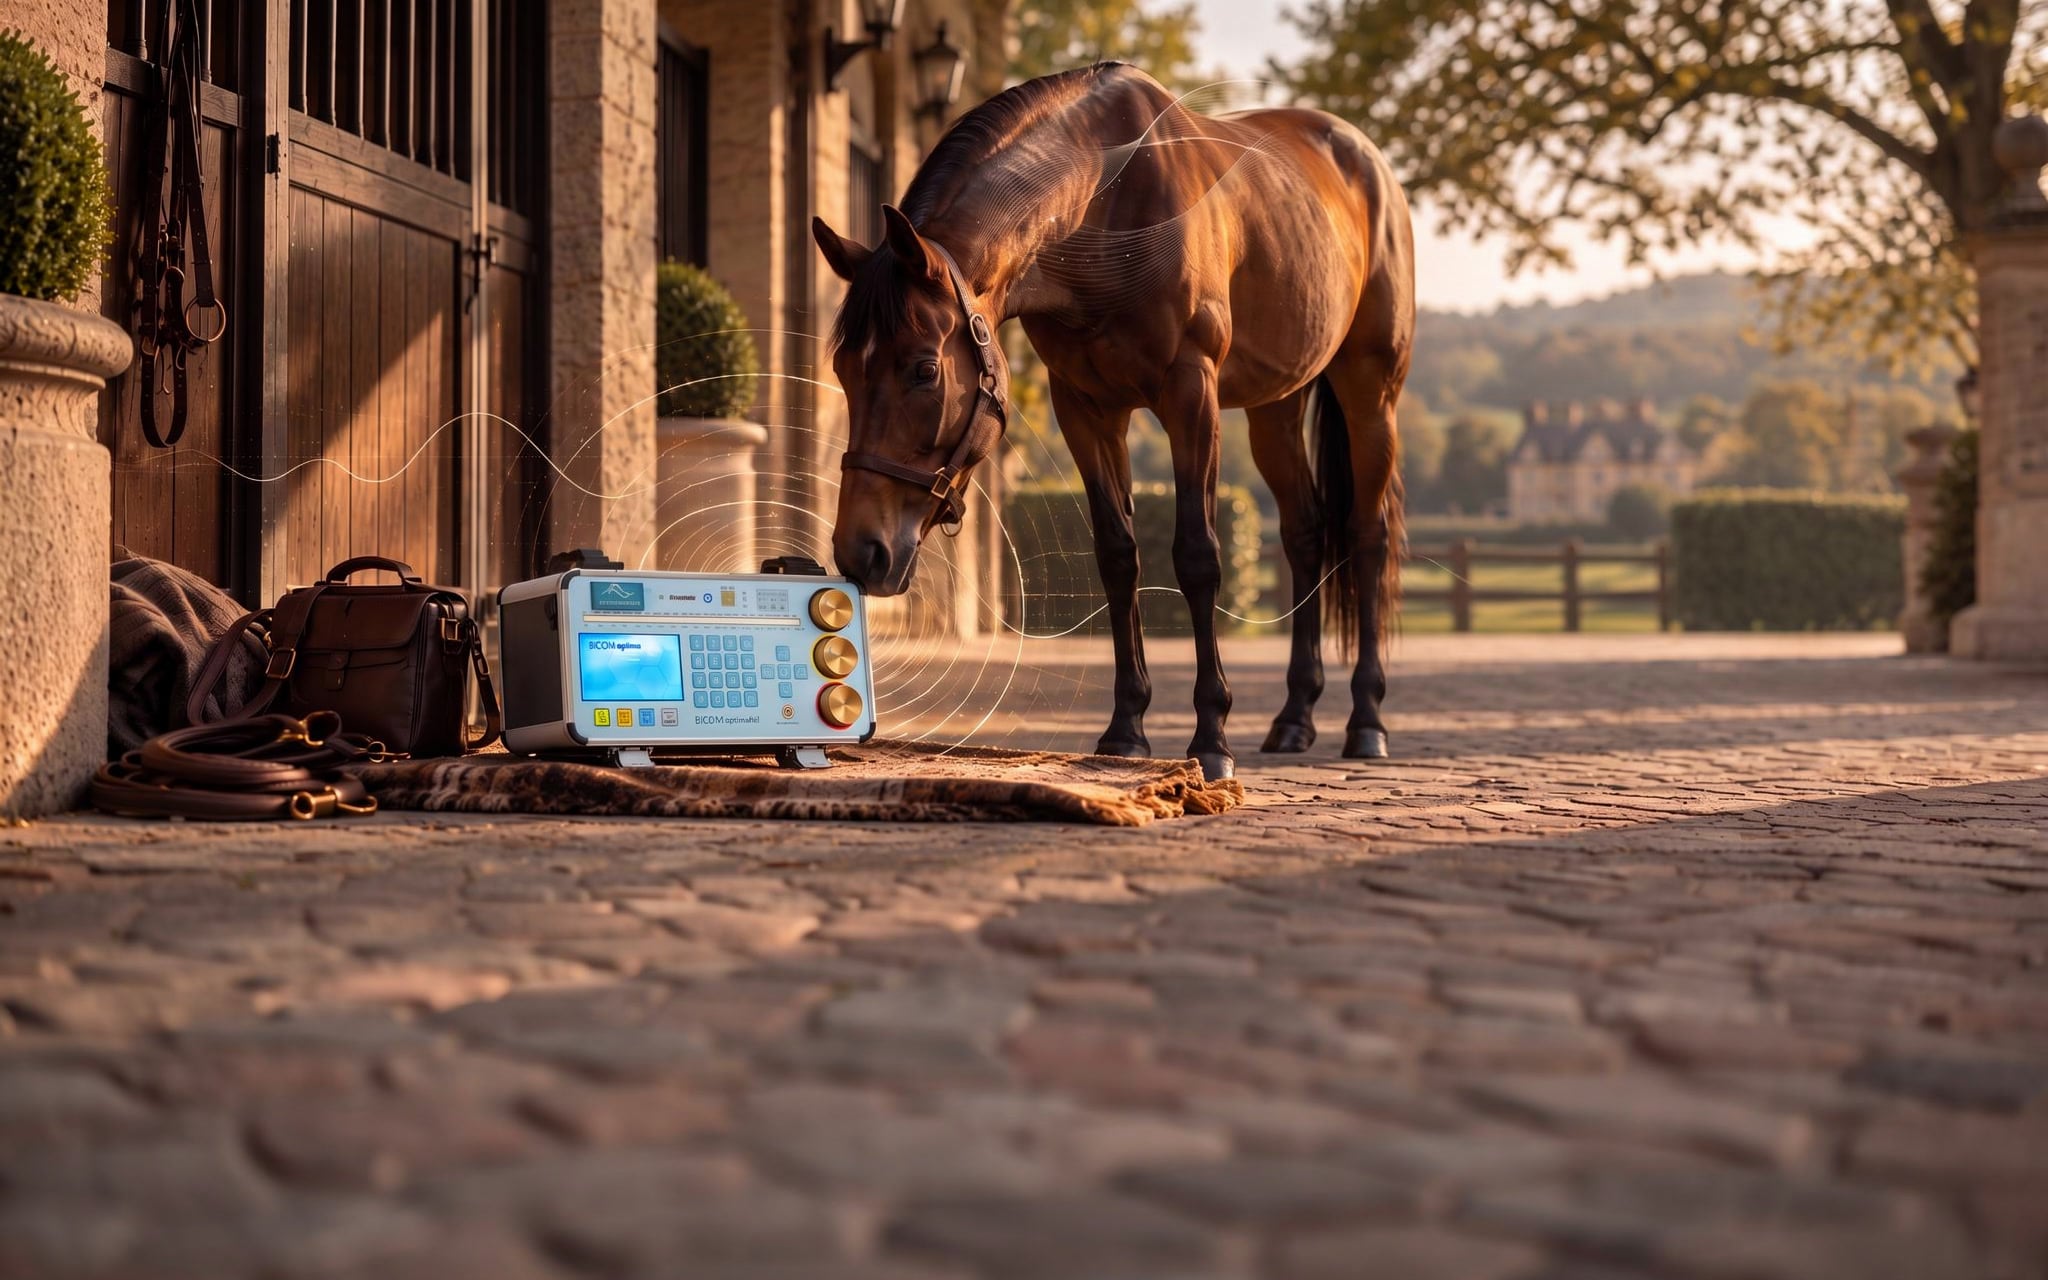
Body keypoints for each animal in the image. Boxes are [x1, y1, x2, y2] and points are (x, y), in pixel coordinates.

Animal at [812, 62, 1414, 781]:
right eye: (843, 367)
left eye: (924, 370)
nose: (861, 553)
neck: (1107, 209)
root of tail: (1365, 157)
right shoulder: (1086, 408)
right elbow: (1118, 556)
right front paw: (1126, 729)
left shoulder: (1191, 394)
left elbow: (1197, 556)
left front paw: (1211, 736)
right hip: (1277, 405)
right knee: (1305, 535)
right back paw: (1294, 718)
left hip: (1370, 390)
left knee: (1367, 535)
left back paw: (1368, 720)